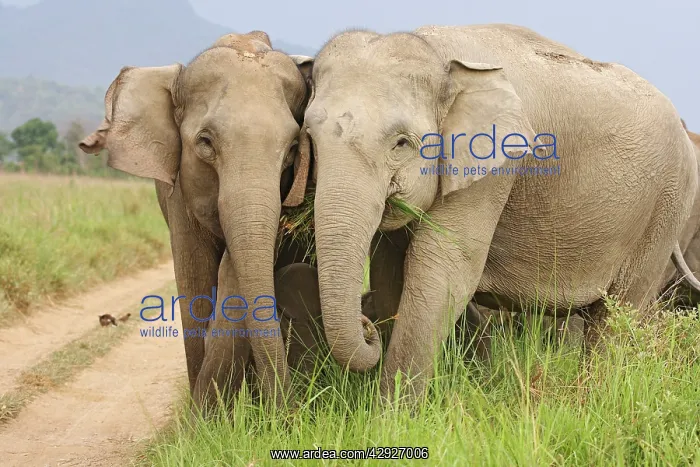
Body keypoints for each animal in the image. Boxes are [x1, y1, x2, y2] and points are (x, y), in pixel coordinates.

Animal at [78, 30, 316, 410]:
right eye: (205, 142)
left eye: (293, 149)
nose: (288, 415)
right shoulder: (178, 197)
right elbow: (195, 281)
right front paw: (206, 417)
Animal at [295, 24, 700, 402]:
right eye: (308, 138)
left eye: (401, 144)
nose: (366, 327)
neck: (437, 52)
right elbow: (388, 270)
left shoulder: (491, 168)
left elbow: (441, 267)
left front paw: (392, 417)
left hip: (666, 208)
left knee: (615, 315)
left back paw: (594, 400)